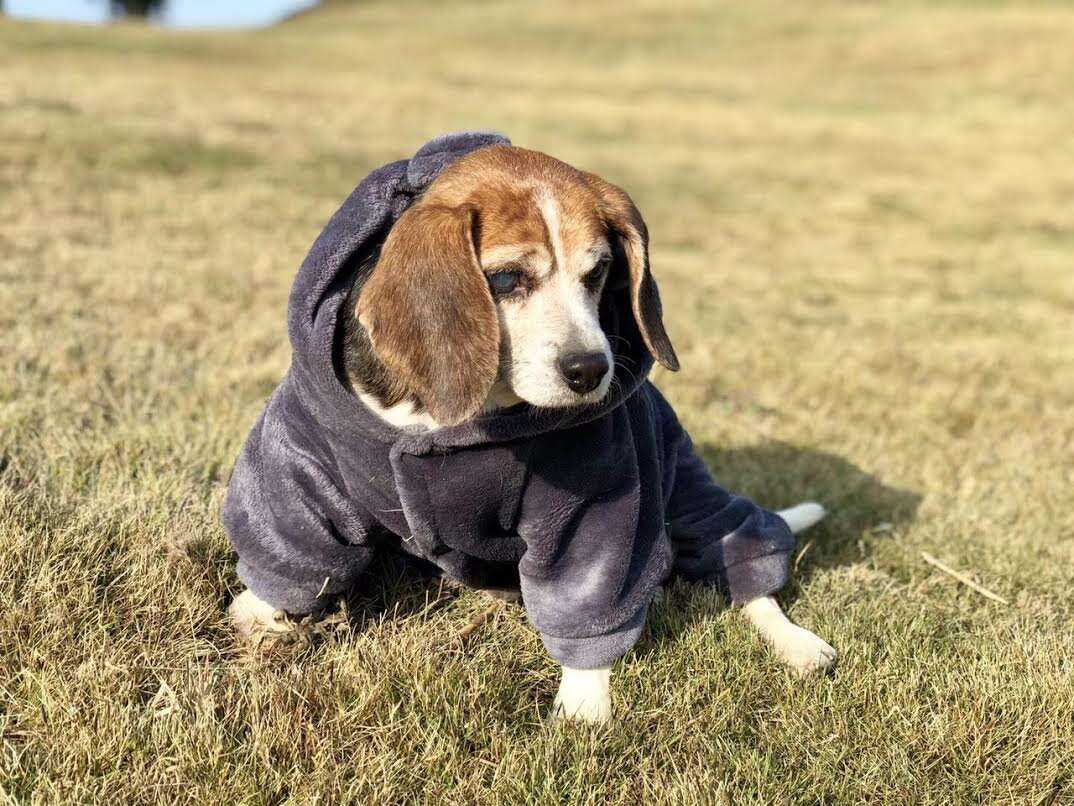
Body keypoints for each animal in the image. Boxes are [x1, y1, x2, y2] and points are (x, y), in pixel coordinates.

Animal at [228, 140, 837, 726]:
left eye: (598, 273)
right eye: (505, 279)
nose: (591, 370)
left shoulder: (594, 508)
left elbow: (589, 603)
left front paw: (585, 706)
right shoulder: (304, 465)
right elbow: (295, 547)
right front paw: (261, 614)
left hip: (693, 502)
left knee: (745, 565)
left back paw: (798, 643)